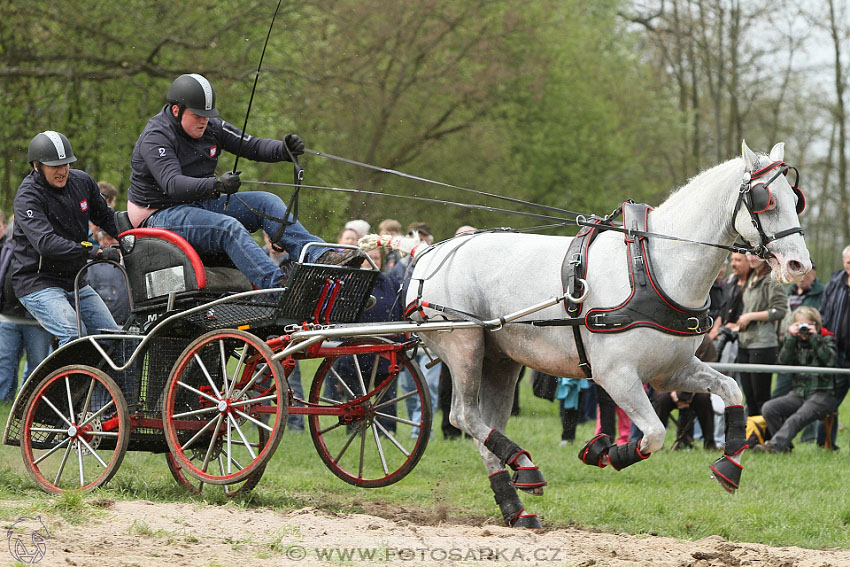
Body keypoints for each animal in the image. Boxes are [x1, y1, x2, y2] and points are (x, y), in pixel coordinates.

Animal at [404, 142, 808, 528]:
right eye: (766, 200)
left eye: (795, 199)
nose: (799, 265)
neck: (655, 266)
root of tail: (431, 254)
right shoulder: (616, 375)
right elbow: (655, 433)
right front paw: (602, 452)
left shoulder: (671, 371)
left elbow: (731, 389)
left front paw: (730, 464)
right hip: (465, 346)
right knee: (465, 416)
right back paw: (525, 466)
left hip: (500, 360)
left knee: (487, 429)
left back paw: (516, 506)